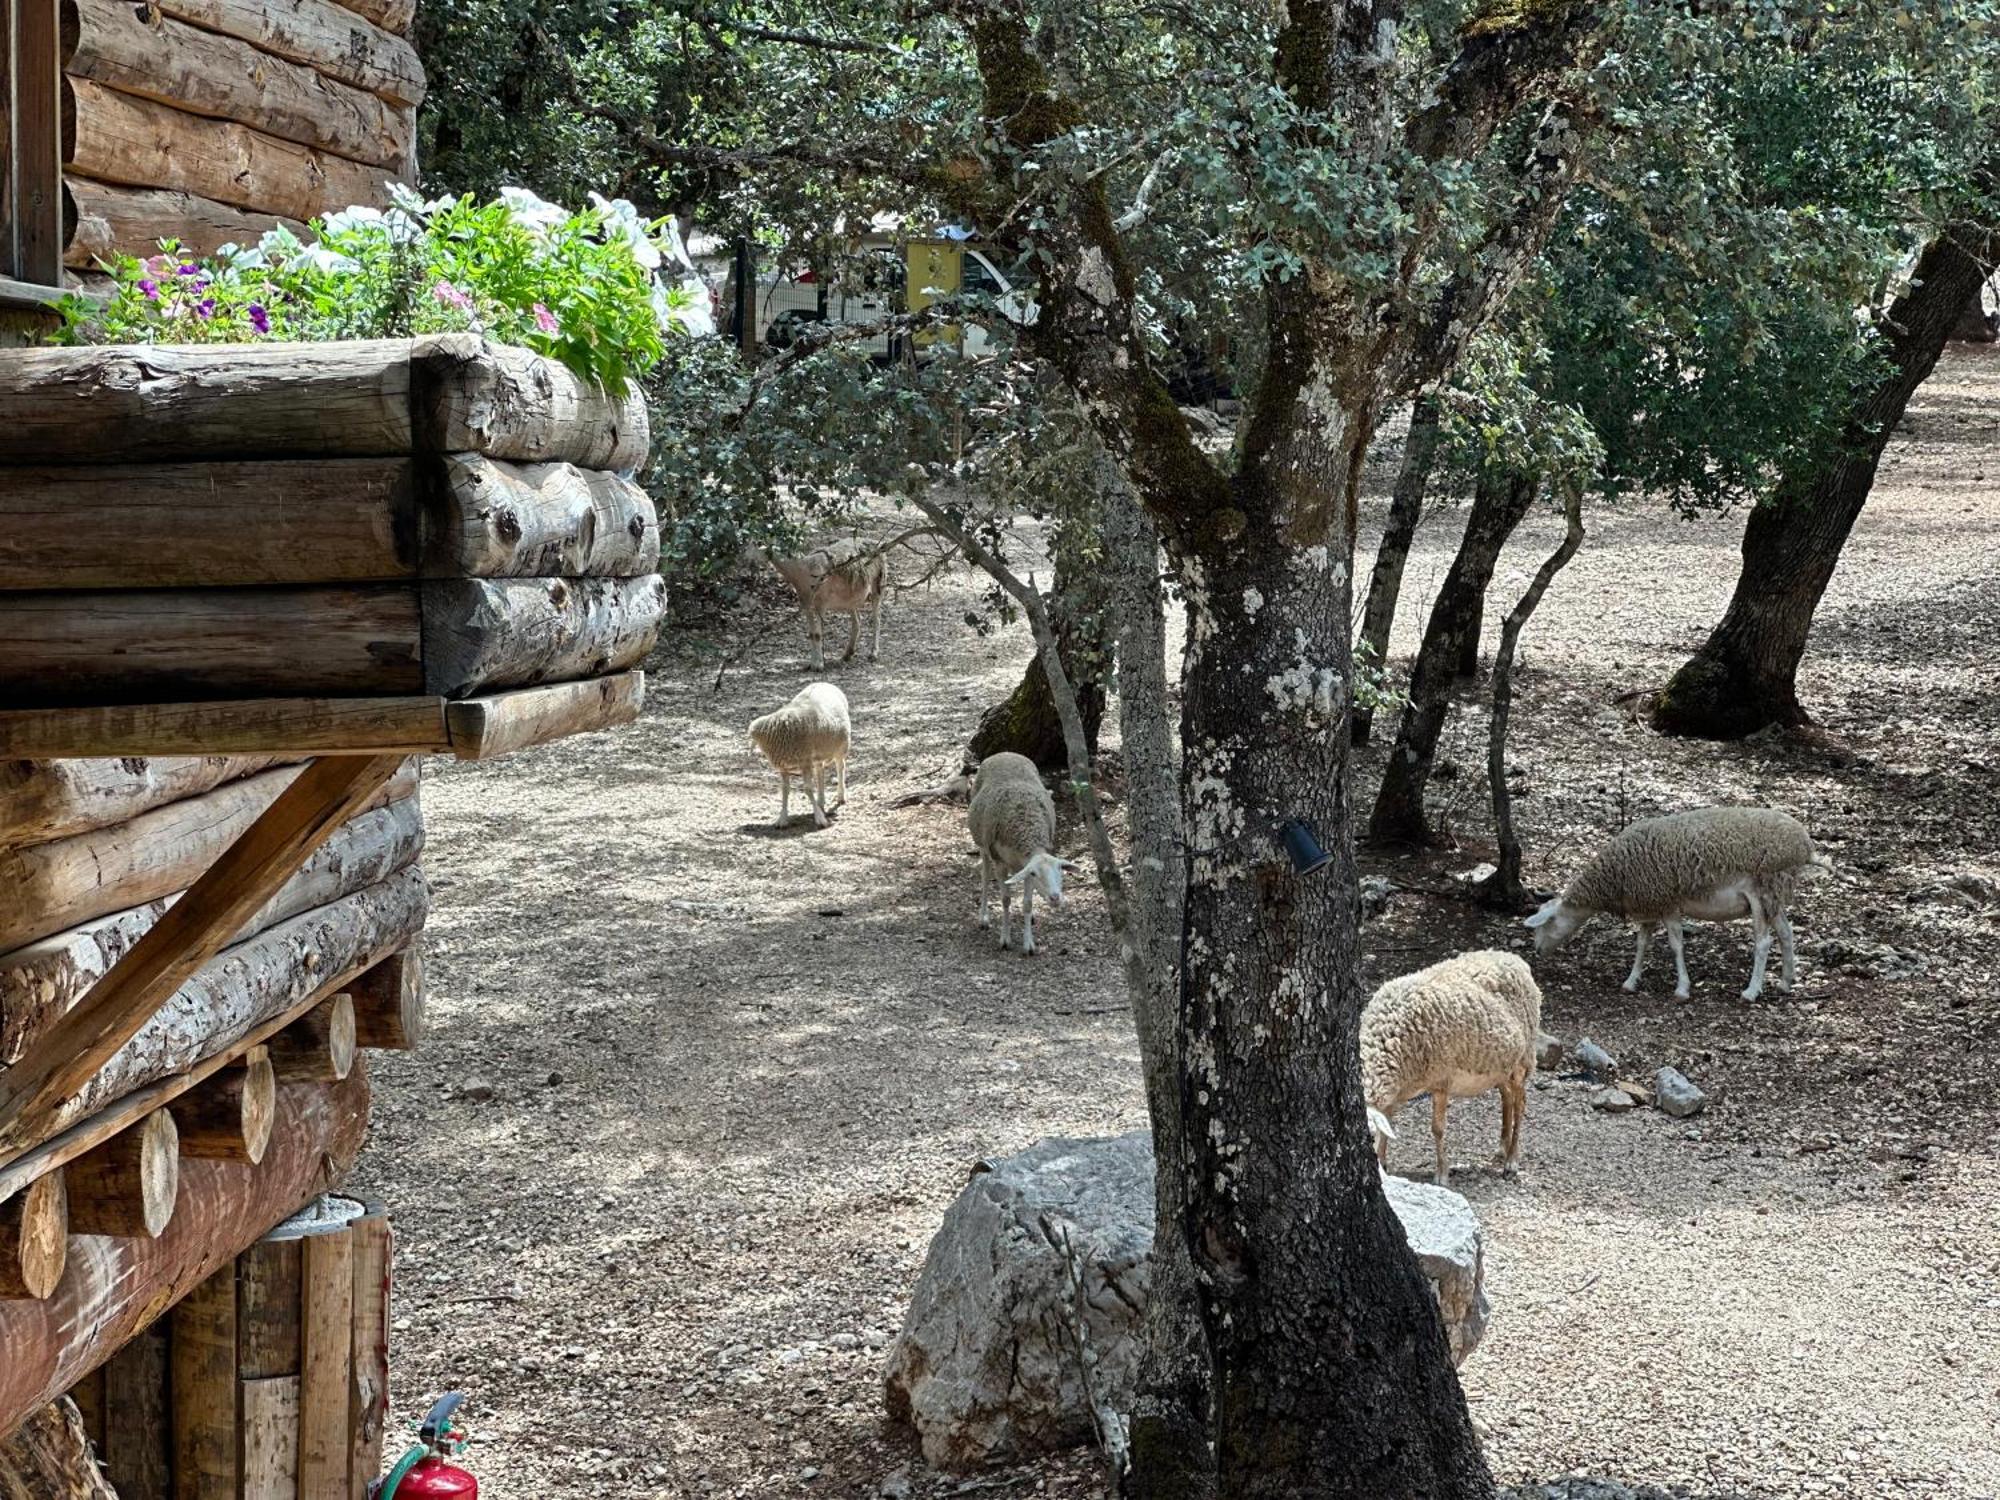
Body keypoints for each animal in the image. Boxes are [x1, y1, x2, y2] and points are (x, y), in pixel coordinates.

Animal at [748, 684, 848, 836]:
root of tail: (824, 683)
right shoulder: (784, 767)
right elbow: (785, 790)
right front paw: (782, 818)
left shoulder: (804, 761)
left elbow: (807, 789)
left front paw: (819, 818)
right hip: (817, 755)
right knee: (820, 771)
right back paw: (820, 800)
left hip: (840, 747)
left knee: (840, 767)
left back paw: (840, 796)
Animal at [752, 540, 888, 668]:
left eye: (754, 547)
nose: (748, 564)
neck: (800, 571)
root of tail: (875, 542)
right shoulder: (806, 602)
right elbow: (812, 634)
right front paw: (812, 663)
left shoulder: (821, 602)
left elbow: (818, 634)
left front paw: (819, 665)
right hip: (850, 596)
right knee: (857, 622)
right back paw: (847, 654)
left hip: (879, 582)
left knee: (876, 618)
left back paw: (873, 653)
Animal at [968, 756, 1080, 956]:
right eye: (1036, 873)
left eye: (1060, 868)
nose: (1055, 898)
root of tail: (1005, 753)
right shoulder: (1003, 864)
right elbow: (1005, 899)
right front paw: (1005, 939)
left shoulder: (1025, 866)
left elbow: (1027, 903)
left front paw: (1029, 944)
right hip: (983, 846)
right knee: (985, 878)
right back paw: (983, 917)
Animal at [1360, 956, 1544, 1192]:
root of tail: (1516, 959)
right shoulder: (1398, 1089)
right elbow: (1388, 1124)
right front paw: (1383, 1163)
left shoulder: (1441, 1081)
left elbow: (1437, 1129)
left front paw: (1442, 1174)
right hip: (1500, 1065)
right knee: (1507, 1098)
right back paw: (1502, 1149)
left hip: (1522, 1060)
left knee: (1520, 1104)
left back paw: (1511, 1161)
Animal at [1520, 804, 1832, 1004]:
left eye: (1546, 923)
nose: (1536, 951)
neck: (1614, 878)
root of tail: (1805, 846)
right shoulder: (1649, 905)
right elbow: (1642, 944)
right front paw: (1631, 981)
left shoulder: (1669, 904)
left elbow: (1675, 945)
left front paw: (1682, 988)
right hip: (1775, 894)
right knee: (1786, 933)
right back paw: (1786, 981)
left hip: (1761, 891)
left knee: (1764, 942)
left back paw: (1751, 991)